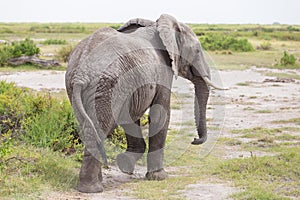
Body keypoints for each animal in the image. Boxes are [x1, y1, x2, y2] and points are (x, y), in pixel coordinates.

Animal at [65, 13, 223, 192]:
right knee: (99, 128)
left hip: (79, 86)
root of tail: (81, 75)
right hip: (106, 84)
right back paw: (92, 189)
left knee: (89, 127)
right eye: (197, 50)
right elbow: (160, 114)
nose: (195, 140)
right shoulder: (162, 70)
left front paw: (125, 165)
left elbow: (130, 116)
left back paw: (93, 184)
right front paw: (159, 177)